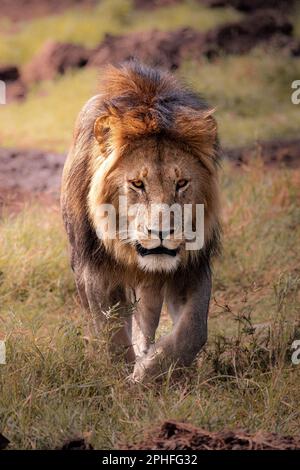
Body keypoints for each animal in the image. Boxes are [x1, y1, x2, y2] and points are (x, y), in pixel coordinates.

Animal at [60, 60, 220, 382]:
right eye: (137, 184)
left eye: (181, 183)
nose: (161, 232)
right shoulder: (97, 272)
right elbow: (110, 335)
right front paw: (122, 379)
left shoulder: (192, 266)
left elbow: (193, 331)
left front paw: (148, 373)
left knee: (146, 320)